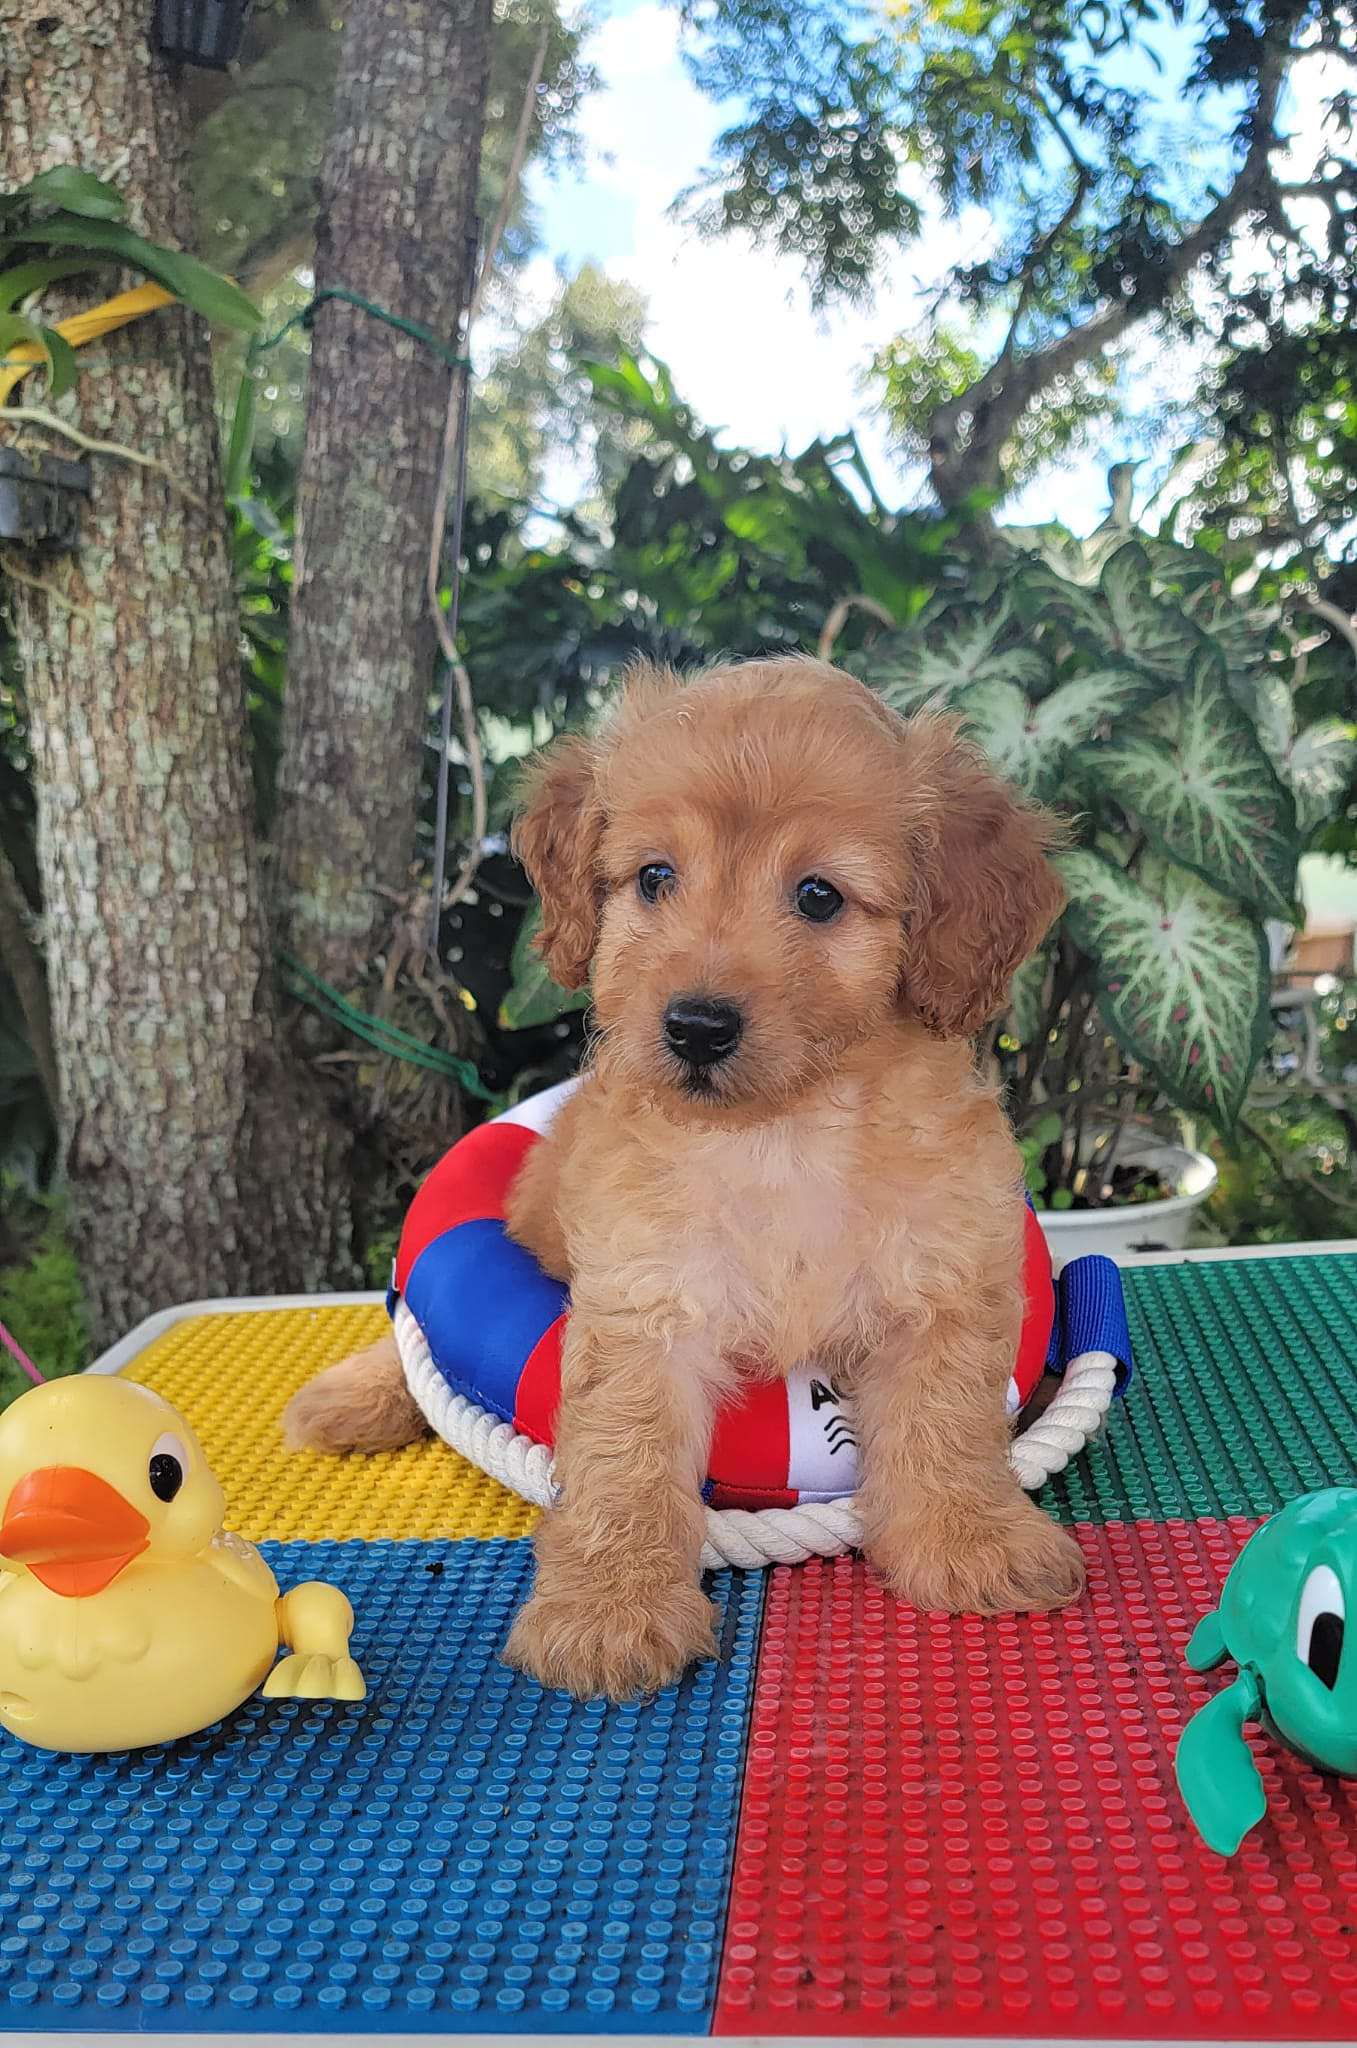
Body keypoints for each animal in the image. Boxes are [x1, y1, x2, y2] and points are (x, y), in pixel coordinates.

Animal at [285, 657, 1084, 1698]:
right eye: (655, 878)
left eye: (819, 896)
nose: (695, 1027)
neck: (780, 1133)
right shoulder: (642, 1306)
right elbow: (624, 1458)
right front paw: (609, 1610)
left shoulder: (942, 1283)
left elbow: (946, 1423)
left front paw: (971, 1538)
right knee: (412, 1318)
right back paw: (350, 1399)